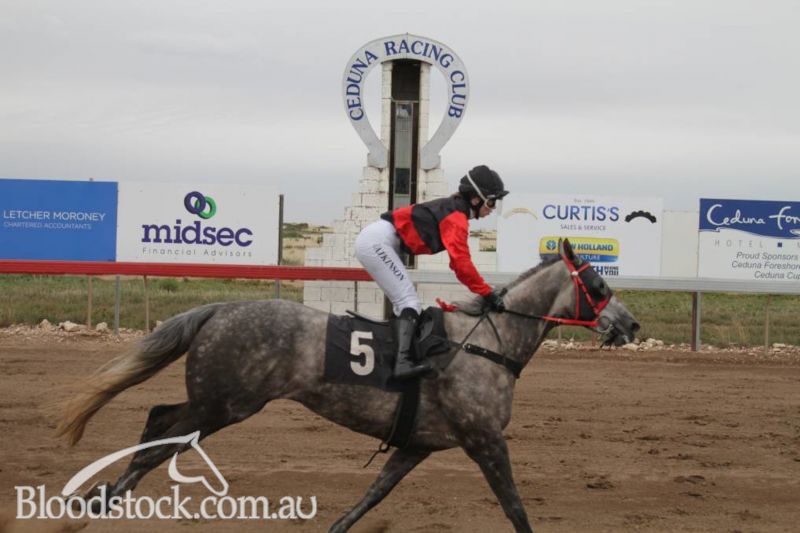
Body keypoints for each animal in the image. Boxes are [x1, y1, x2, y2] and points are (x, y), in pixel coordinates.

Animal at [57, 239, 639, 532]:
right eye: (598, 284)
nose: (631, 324)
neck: (487, 344)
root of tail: (220, 307)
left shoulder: (419, 444)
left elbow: (373, 495)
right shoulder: (485, 440)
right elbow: (515, 507)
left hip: (217, 400)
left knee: (158, 419)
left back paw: (98, 498)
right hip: (225, 403)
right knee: (163, 433)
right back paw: (97, 502)